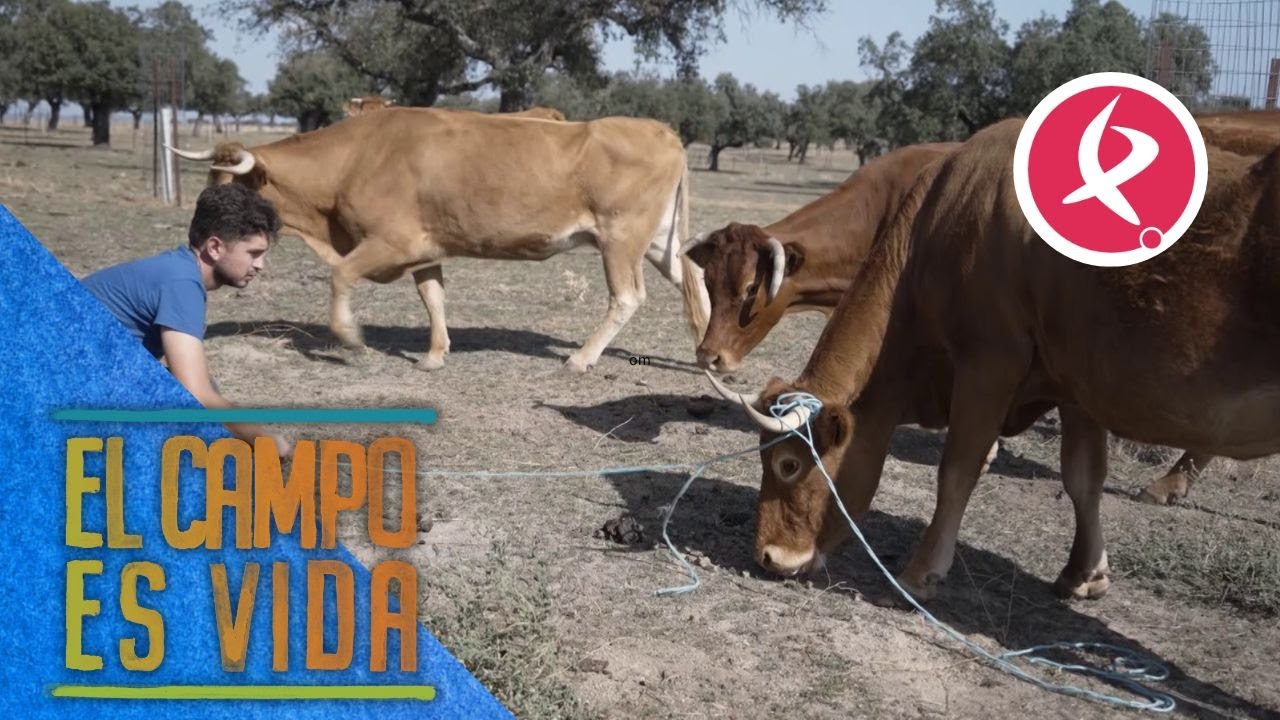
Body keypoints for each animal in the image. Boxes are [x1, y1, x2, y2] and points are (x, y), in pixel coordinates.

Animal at [171, 107, 706, 372]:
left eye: (228, 187)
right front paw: (433, 354)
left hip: (620, 240)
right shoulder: (425, 248)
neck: (356, 156)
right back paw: (707, 355)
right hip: (655, 241)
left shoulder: (391, 242)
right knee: (694, 281)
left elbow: (340, 275)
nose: (199, 236)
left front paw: (350, 337)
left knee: (627, 297)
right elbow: (433, 298)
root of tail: (662, 131)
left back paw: (580, 358)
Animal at [715, 117, 1280, 604]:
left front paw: (922, 572)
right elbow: (1083, 478)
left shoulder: (989, 363)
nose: (768, 557)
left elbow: (958, 469)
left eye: (788, 464)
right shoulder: (1075, 385)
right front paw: (1084, 573)